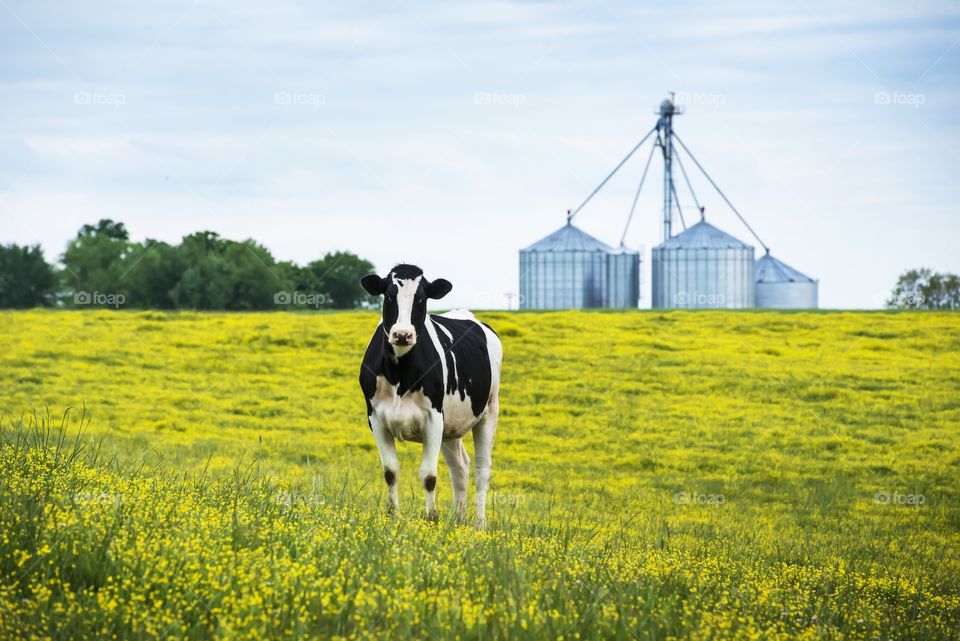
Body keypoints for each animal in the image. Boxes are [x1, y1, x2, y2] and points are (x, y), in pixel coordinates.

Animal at [358, 264, 502, 527]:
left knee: (482, 470)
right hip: (451, 427)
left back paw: (479, 524)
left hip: (489, 411)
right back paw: (459, 521)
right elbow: (390, 471)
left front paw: (431, 519)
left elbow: (429, 475)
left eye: (421, 298)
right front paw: (393, 516)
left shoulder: (433, 419)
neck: (399, 375)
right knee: (460, 467)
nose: (402, 334)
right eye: (389, 295)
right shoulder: (375, 419)